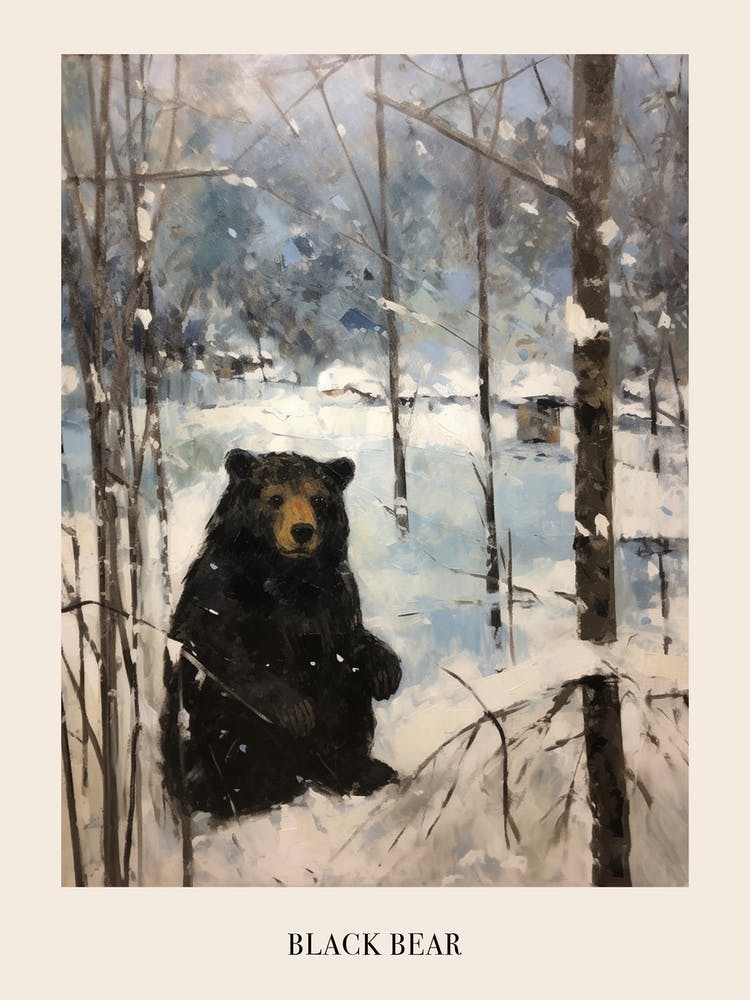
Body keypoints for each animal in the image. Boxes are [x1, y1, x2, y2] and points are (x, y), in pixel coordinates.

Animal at [160, 449, 402, 819]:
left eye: (319, 498)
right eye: (275, 498)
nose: (302, 531)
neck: (288, 576)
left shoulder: (335, 595)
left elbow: (350, 640)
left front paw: (386, 670)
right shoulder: (219, 588)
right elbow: (215, 647)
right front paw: (295, 710)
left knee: (347, 686)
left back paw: (360, 770)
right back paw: (252, 792)